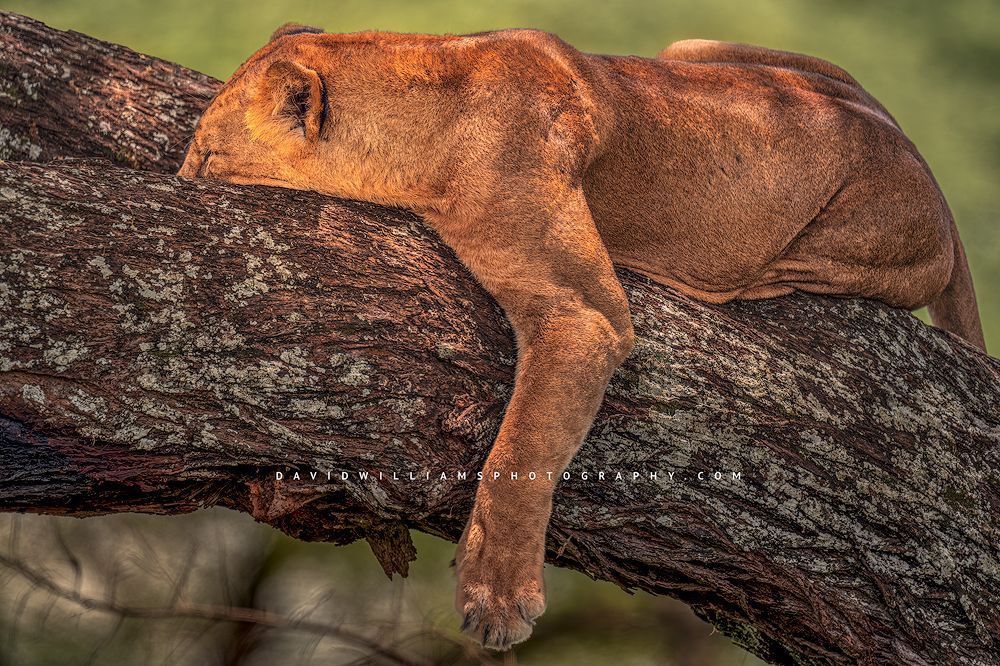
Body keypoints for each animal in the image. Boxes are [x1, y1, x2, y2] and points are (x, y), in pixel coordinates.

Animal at [179, 24, 986, 650]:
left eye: (209, 157)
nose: (181, 183)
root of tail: (936, 187)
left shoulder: (583, 312)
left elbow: (525, 446)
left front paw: (496, 596)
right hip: (693, 50)